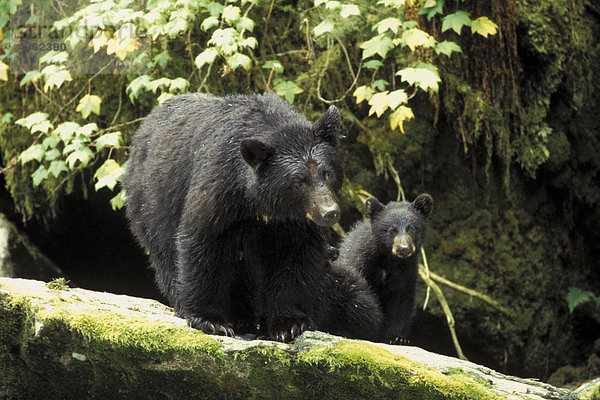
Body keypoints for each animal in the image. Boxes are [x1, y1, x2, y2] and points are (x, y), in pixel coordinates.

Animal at [124, 93, 382, 340]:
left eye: (327, 173)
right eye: (298, 181)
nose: (330, 212)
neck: (259, 204)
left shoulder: (295, 222)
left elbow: (297, 256)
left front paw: (288, 325)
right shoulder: (220, 188)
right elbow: (204, 241)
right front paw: (210, 320)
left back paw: (243, 317)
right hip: (151, 198)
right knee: (165, 249)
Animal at [338, 194, 432, 344]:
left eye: (411, 228)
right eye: (392, 230)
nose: (404, 249)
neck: (388, 260)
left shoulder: (406, 270)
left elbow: (402, 300)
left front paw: (397, 338)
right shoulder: (360, 262)